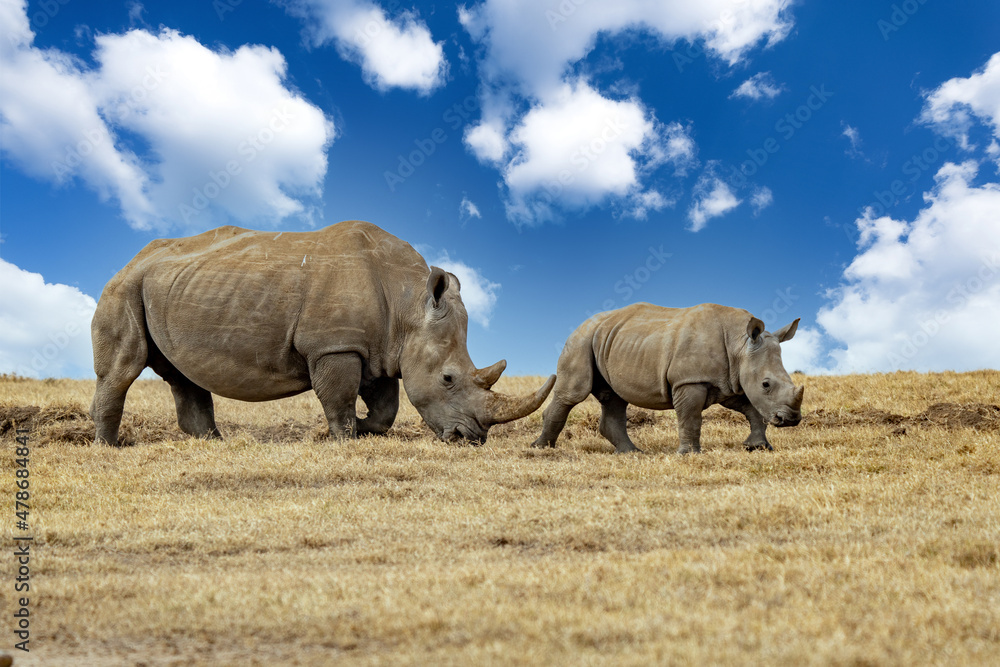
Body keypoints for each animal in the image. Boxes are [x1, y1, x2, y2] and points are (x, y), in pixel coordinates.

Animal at [90, 221, 554, 445]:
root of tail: (131, 259)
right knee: (123, 369)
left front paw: (365, 431)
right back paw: (108, 447)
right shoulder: (335, 345)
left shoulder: (379, 348)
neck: (408, 302)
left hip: (170, 287)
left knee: (183, 375)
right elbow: (339, 399)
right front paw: (343, 439)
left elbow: (386, 409)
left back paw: (212, 444)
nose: (471, 439)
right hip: (123, 288)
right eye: (448, 378)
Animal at [531, 303, 804, 454]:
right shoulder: (689, 380)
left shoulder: (728, 380)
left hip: (611, 339)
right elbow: (690, 417)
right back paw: (540, 449)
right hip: (580, 340)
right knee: (574, 393)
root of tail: (582, 322)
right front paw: (689, 455)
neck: (740, 343)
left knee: (615, 397)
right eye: (766, 384)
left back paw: (632, 453)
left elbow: (752, 409)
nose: (790, 420)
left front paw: (758, 447)